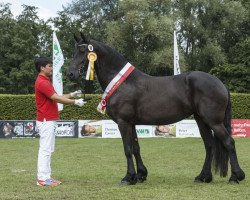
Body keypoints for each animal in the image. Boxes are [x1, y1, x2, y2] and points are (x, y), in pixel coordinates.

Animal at [67, 33, 245, 185]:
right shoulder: (131, 123)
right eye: (74, 50)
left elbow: (127, 149)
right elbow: (136, 148)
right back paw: (203, 177)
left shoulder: (123, 123)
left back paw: (235, 177)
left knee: (228, 142)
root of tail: (220, 83)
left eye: (83, 50)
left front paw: (128, 177)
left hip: (213, 121)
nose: (70, 73)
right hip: (201, 119)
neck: (123, 82)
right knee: (209, 145)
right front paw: (140, 175)